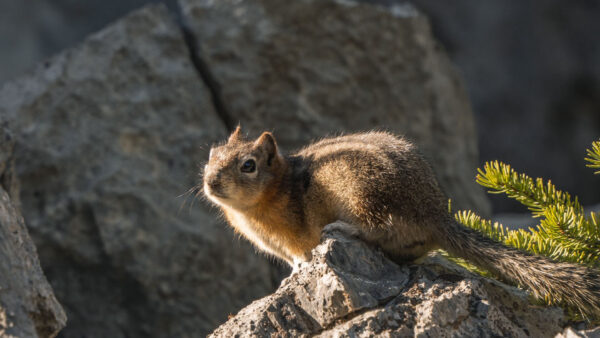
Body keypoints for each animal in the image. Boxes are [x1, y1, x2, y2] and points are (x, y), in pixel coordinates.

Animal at [202, 126, 600, 316]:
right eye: (211, 155)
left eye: (248, 165)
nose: (210, 182)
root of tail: (436, 213)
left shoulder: (293, 238)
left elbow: (299, 256)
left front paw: (297, 271)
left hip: (362, 194)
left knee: (379, 228)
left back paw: (342, 229)